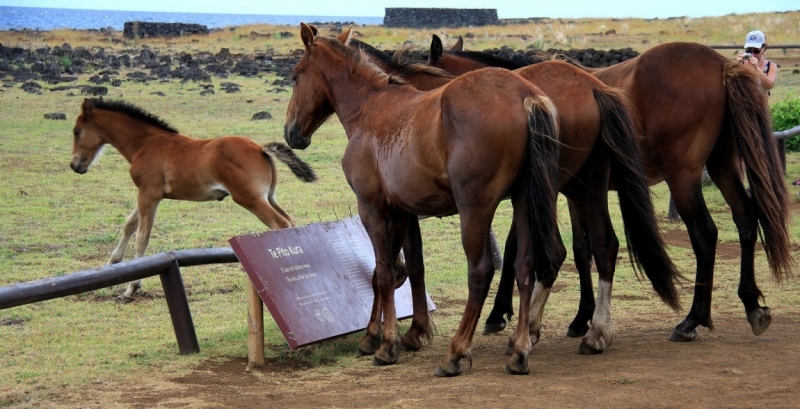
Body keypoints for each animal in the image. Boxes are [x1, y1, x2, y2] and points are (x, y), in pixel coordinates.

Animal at [70, 97, 316, 298]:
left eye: (76, 131)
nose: (75, 165)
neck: (146, 144)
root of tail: (260, 148)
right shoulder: (149, 193)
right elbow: (129, 225)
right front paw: (110, 266)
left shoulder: (149, 193)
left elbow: (142, 237)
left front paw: (132, 287)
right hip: (269, 197)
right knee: (291, 223)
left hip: (250, 199)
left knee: (280, 224)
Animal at [284, 23, 564, 376]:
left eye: (295, 76)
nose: (290, 132)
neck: (370, 107)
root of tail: (522, 94)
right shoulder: (402, 213)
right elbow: (396, 272)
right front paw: (382, 335)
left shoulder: (372, 211)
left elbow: (384, 273)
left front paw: (386, 344)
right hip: (524, 202)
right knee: (525, 267)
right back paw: (519, 351)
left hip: (475, 209)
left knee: (481, 271)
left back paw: (455, 353)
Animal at [428, 37, 792, 342]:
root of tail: (721, 65)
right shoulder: (572, 193)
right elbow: (582, 248)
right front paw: (582, 317)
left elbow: (523, 244)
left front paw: (501, 313)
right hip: (722, 165)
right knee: (746, 218)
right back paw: (751, 304)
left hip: (684, 177)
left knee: (704, 234)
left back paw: (692, 320)